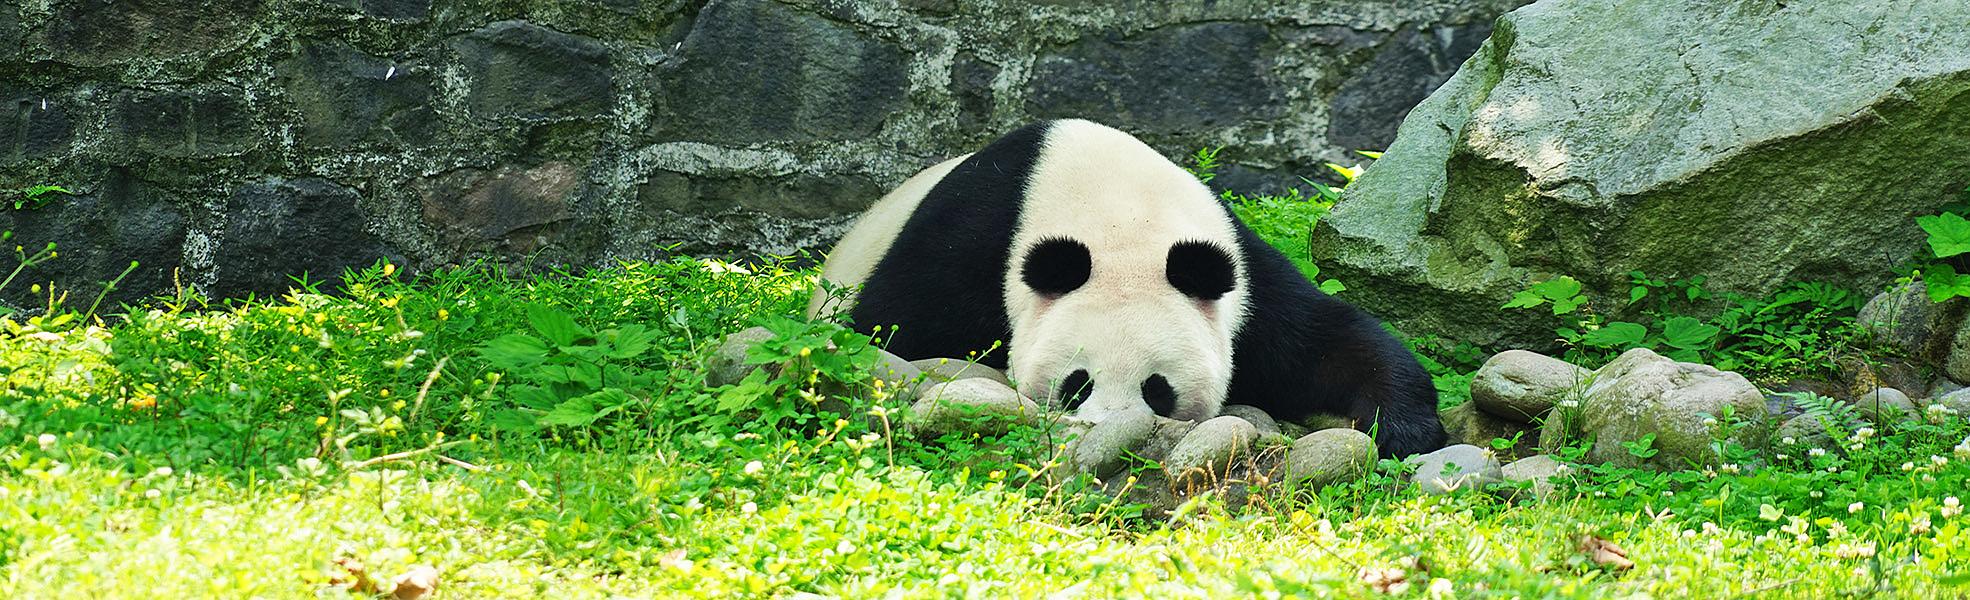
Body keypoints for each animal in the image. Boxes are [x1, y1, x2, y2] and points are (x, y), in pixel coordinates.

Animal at [808, 119, 1446, 457]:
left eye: (1157, 389)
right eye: (1076, 384)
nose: (1106, 431)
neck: (1122, 221)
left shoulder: (1240, 277)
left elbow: (1326, 343)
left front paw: (1406, 432)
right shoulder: (970, 244)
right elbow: (894, 325)